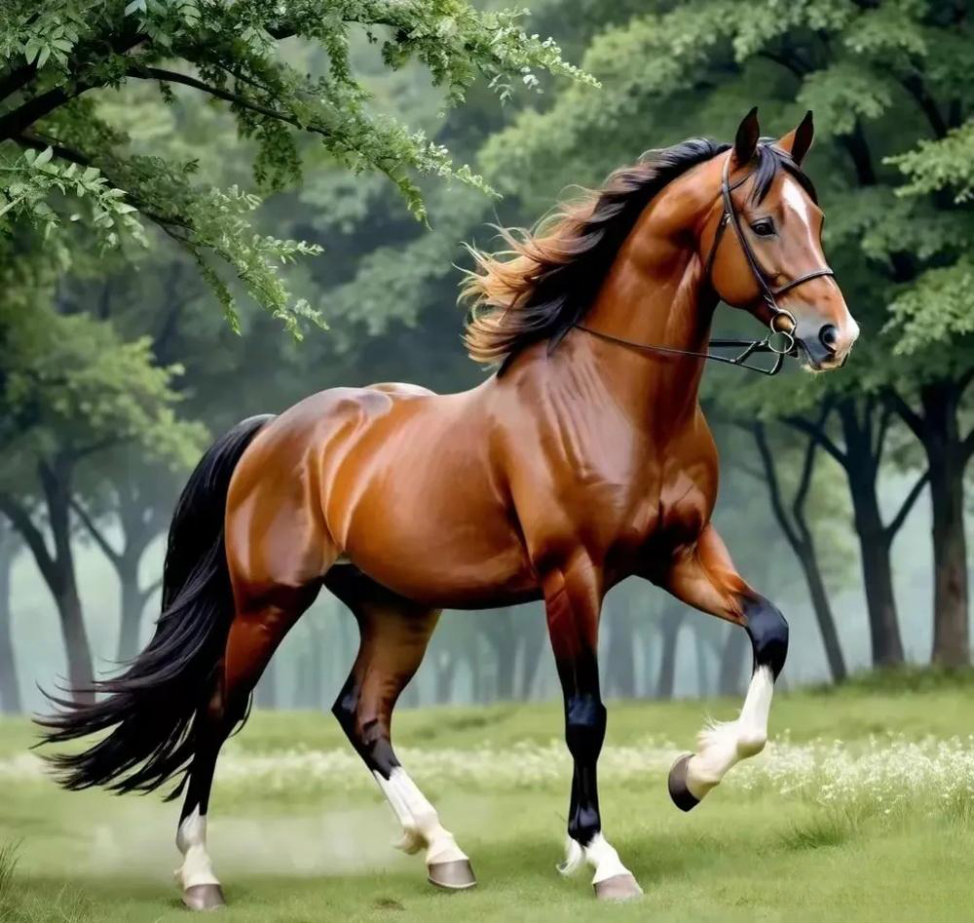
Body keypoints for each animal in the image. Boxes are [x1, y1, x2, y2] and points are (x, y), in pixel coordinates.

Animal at [39, 108, 858, 908]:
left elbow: (771, 633)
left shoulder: (681, 556)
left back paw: (441, 849)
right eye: (763, 223)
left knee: (360, 711)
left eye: (816, 216)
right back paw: (200, 873)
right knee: (217, 711)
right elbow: (585, 717)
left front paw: (690, 776)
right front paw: (599, 856)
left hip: (398, 607)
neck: (613, 398)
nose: (835, 336)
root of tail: (273, 431)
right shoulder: (572, 578)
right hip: (269, 604)